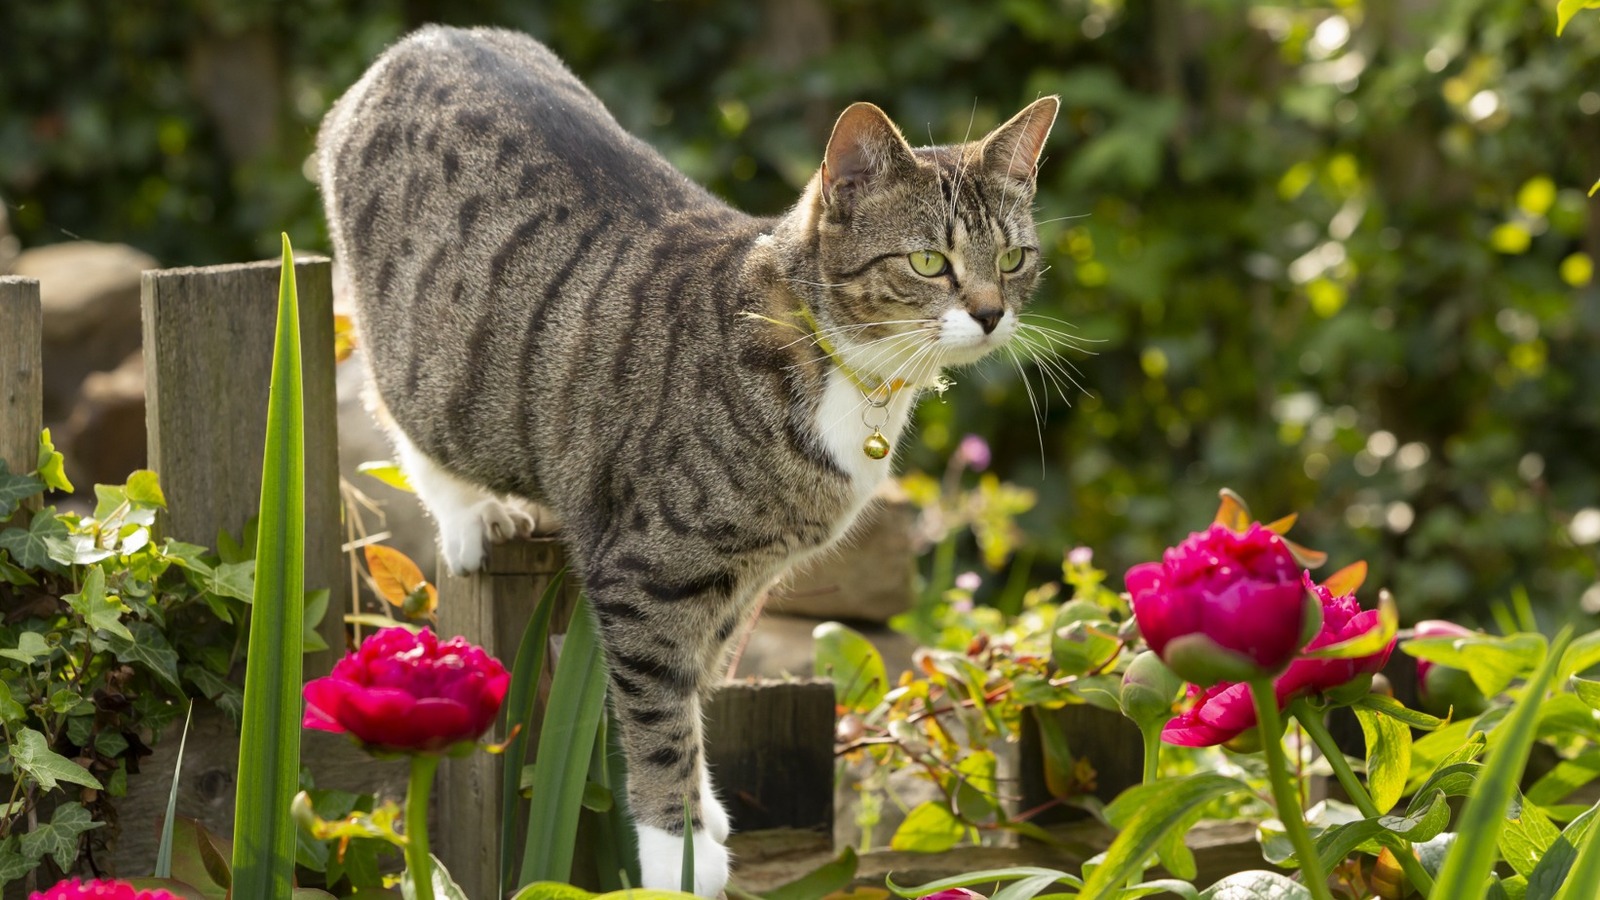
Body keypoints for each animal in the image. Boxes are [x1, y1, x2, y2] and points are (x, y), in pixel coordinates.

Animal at [316, 24, 1056, 890]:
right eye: (930, 262)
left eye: (1013, 260)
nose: (991, 313)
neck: (845, 367)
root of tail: (422, 40)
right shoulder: (646, 573)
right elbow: (661, 709)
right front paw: (680, 850)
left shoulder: (743, 580)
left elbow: (701, 684)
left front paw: (707, 815)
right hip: (429, 367)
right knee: (401, 413)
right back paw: (472, 516)